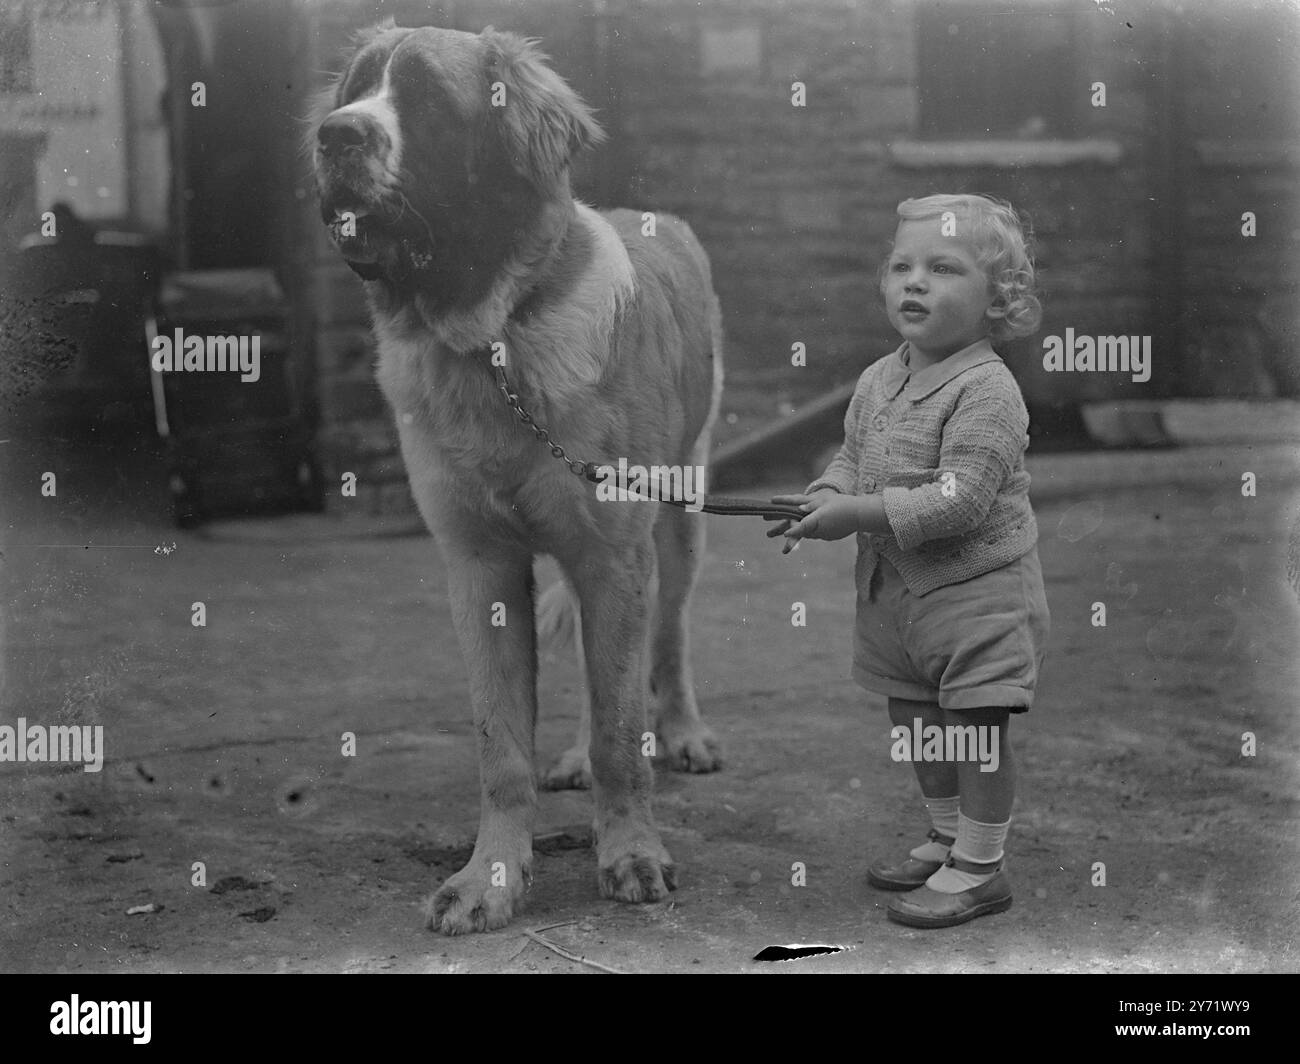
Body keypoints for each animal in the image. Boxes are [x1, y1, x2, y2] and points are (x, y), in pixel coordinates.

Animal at [310, 22, 728, 926]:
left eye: (429, 101)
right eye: (353, 92)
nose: (334, 136)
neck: (493, 340)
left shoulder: (614, 554)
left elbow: (622, 730)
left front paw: (631, 852)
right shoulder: (481, 566)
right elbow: (500, 742)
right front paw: (491, 876)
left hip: (678, 521)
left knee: (669, 639)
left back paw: (682, 733)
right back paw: (571, 755)